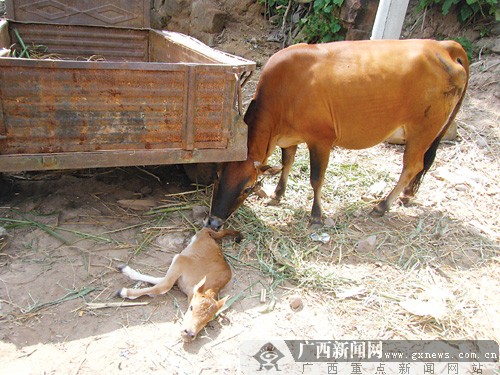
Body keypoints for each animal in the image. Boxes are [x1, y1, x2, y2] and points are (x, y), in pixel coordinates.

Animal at [206, 39, 468, 231]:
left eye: (248, 188)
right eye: (217, 175)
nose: (214, 222)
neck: (284, 93)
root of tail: (441, 46)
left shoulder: (321, 140)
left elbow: (316, 179)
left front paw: (316, 216)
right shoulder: (289, 139)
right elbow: (287, 163)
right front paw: (277, 195)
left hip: (422, 130)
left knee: (412, 166)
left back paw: (383, 205)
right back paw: (404, 196)